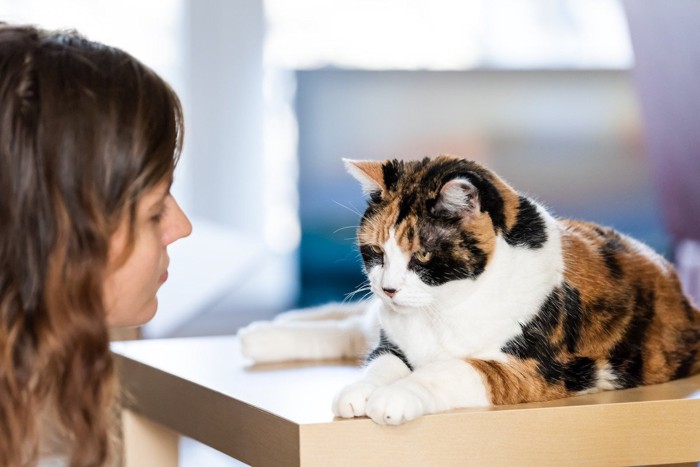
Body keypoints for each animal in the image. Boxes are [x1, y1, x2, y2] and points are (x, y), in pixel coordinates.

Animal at [238, 155, 696, 426]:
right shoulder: (393, 341)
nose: (388, 290)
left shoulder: (535, 368)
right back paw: (262, 334)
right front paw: (358, 392)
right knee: (349, 328)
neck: (443, 309)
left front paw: (394, 398)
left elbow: (450, 369)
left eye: (421, 256)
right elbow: (379, 362)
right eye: (375, 252)